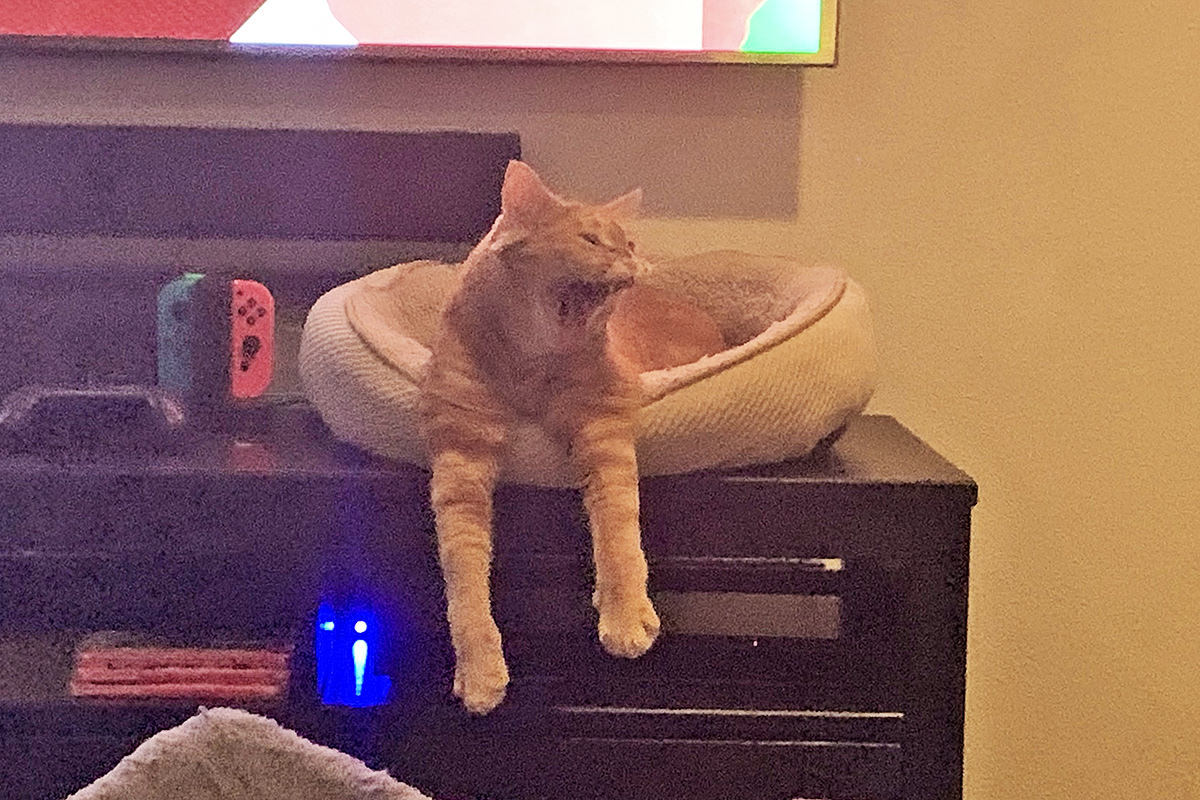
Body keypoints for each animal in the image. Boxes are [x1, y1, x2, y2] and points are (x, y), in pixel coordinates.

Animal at [422, 160, 720, 714]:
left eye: (628, 242)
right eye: (591, 240)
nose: (633, 262)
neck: (529, 366)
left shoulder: (604, 427)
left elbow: (618, 534)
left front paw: (624, 615)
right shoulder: (460, 455)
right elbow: (464, 573)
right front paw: (479, 669)